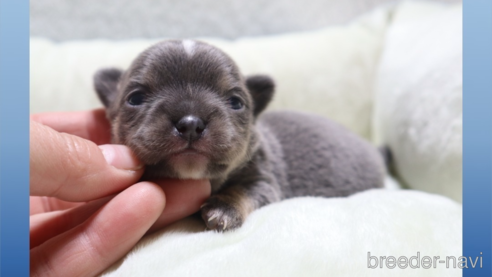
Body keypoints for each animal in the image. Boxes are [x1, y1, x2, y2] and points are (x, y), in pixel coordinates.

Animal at [92, 39, 384, 231]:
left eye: (236, 102)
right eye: (135, 98)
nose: (190, 123)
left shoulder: (263, 179)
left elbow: (242, 190)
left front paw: (224, 209)